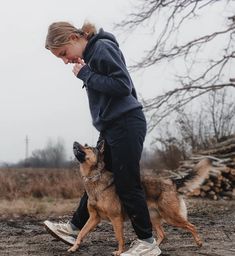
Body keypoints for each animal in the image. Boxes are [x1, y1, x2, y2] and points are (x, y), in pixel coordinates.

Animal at [68, 141, 211, 255]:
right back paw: (152, 248)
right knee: (162, 234)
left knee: (191, 226)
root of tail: (171, 181)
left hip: (171, 217)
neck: (95, 178)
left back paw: (199, 242)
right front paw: (74, 247)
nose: (74, 142)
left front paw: (119, 251)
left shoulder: (116, 218)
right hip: (153, 218)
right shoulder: (94, 218)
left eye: (88, 148)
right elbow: (81, 232)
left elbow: (119, 237)